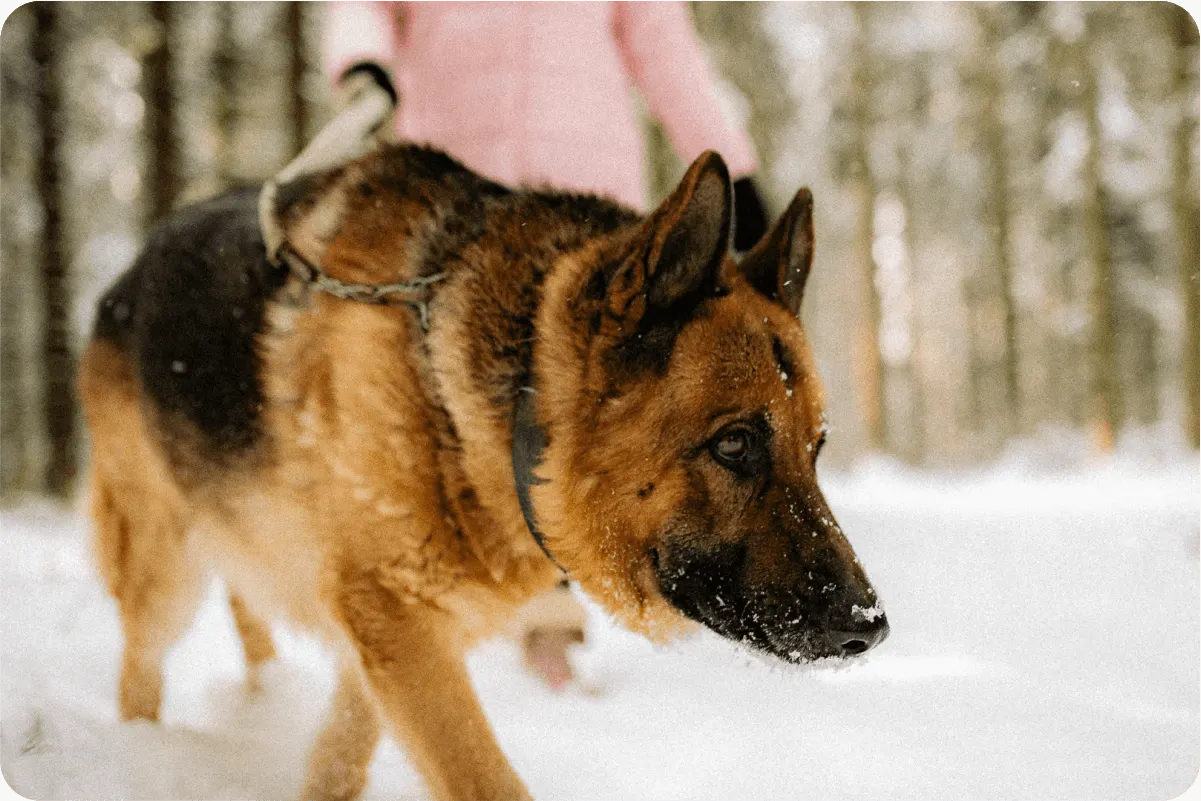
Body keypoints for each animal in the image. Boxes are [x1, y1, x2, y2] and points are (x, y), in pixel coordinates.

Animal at [75, 145, 883, 801]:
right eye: (735, 444)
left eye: (815, 448)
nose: (868, 629)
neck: (495, 419)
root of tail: (132, 265)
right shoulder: (397, 625)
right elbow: (483, 777)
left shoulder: (386, 635)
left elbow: (339, 756)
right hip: (163, 574)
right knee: (139, 671)